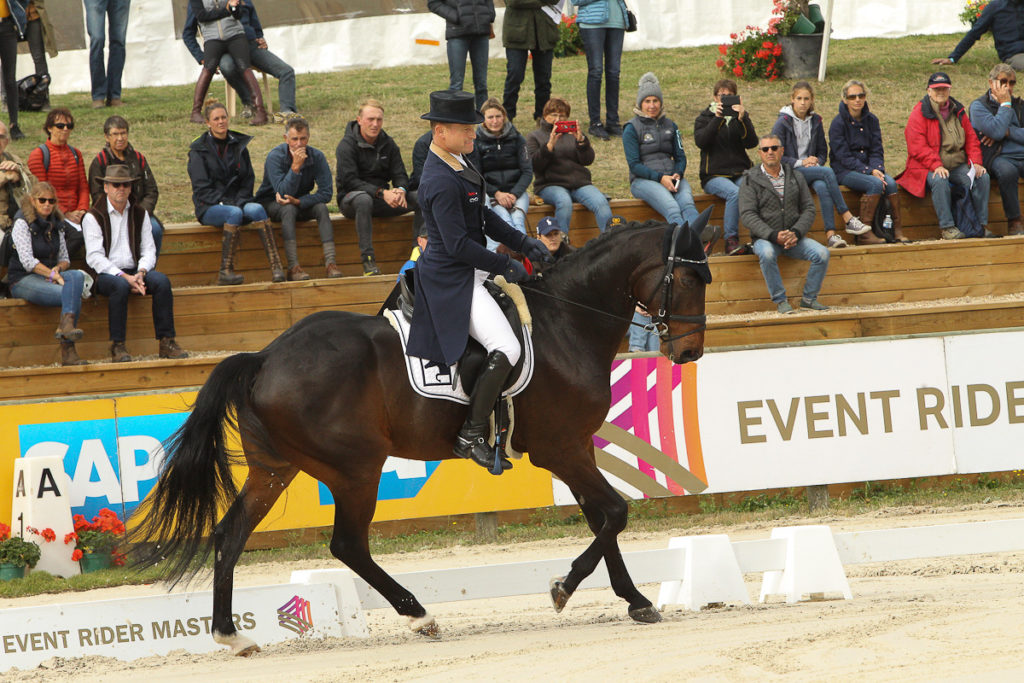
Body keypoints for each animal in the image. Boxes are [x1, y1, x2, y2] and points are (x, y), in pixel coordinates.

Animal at [130, 215, 712, 655]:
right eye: (688, 280)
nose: (689, 354)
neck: (567, 322)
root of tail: (265, 357)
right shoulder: (561, 448)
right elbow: (614, 513)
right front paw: (563, 589)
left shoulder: (575, 448)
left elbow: (602, 518)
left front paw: (635, 599)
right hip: (355, 469)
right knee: (348, 544)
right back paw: (419, 615)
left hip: (275, 468)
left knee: (230, 535)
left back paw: (231, 636)